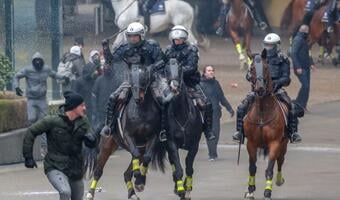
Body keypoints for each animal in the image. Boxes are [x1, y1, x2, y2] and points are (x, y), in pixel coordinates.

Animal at [85, 62, 168, 200]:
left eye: (144, 78)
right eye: (132, 79)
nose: (138, 98)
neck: (142, 111)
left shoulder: (153, 137)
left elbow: (147, 157)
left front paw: (140, 181)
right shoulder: (128, 135)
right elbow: (134, 152)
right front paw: (138, 177)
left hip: (140, 148)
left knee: (127, 172)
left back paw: (132, 192)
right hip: (107, 146)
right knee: (98, 171)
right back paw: (90, 193)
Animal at [157, 58, 205, 200]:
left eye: (180, 67)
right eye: (166, 68)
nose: (174, 86)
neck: (181, 114)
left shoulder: (194, 144)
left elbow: (189, 166)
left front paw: (188, 188)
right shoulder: (171, 143)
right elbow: (178, 168)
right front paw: (180, 190)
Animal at [243, 50, 288, 200]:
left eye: (266, 67)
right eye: (251, 68)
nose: (260, 89)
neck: (262, 112)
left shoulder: (274, 143)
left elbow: (269, 169)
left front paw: (267, 192)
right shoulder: (251, 143)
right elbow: (252, 167)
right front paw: (250, 190)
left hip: (283, 144)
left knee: (280, 160)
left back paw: (279, 180)